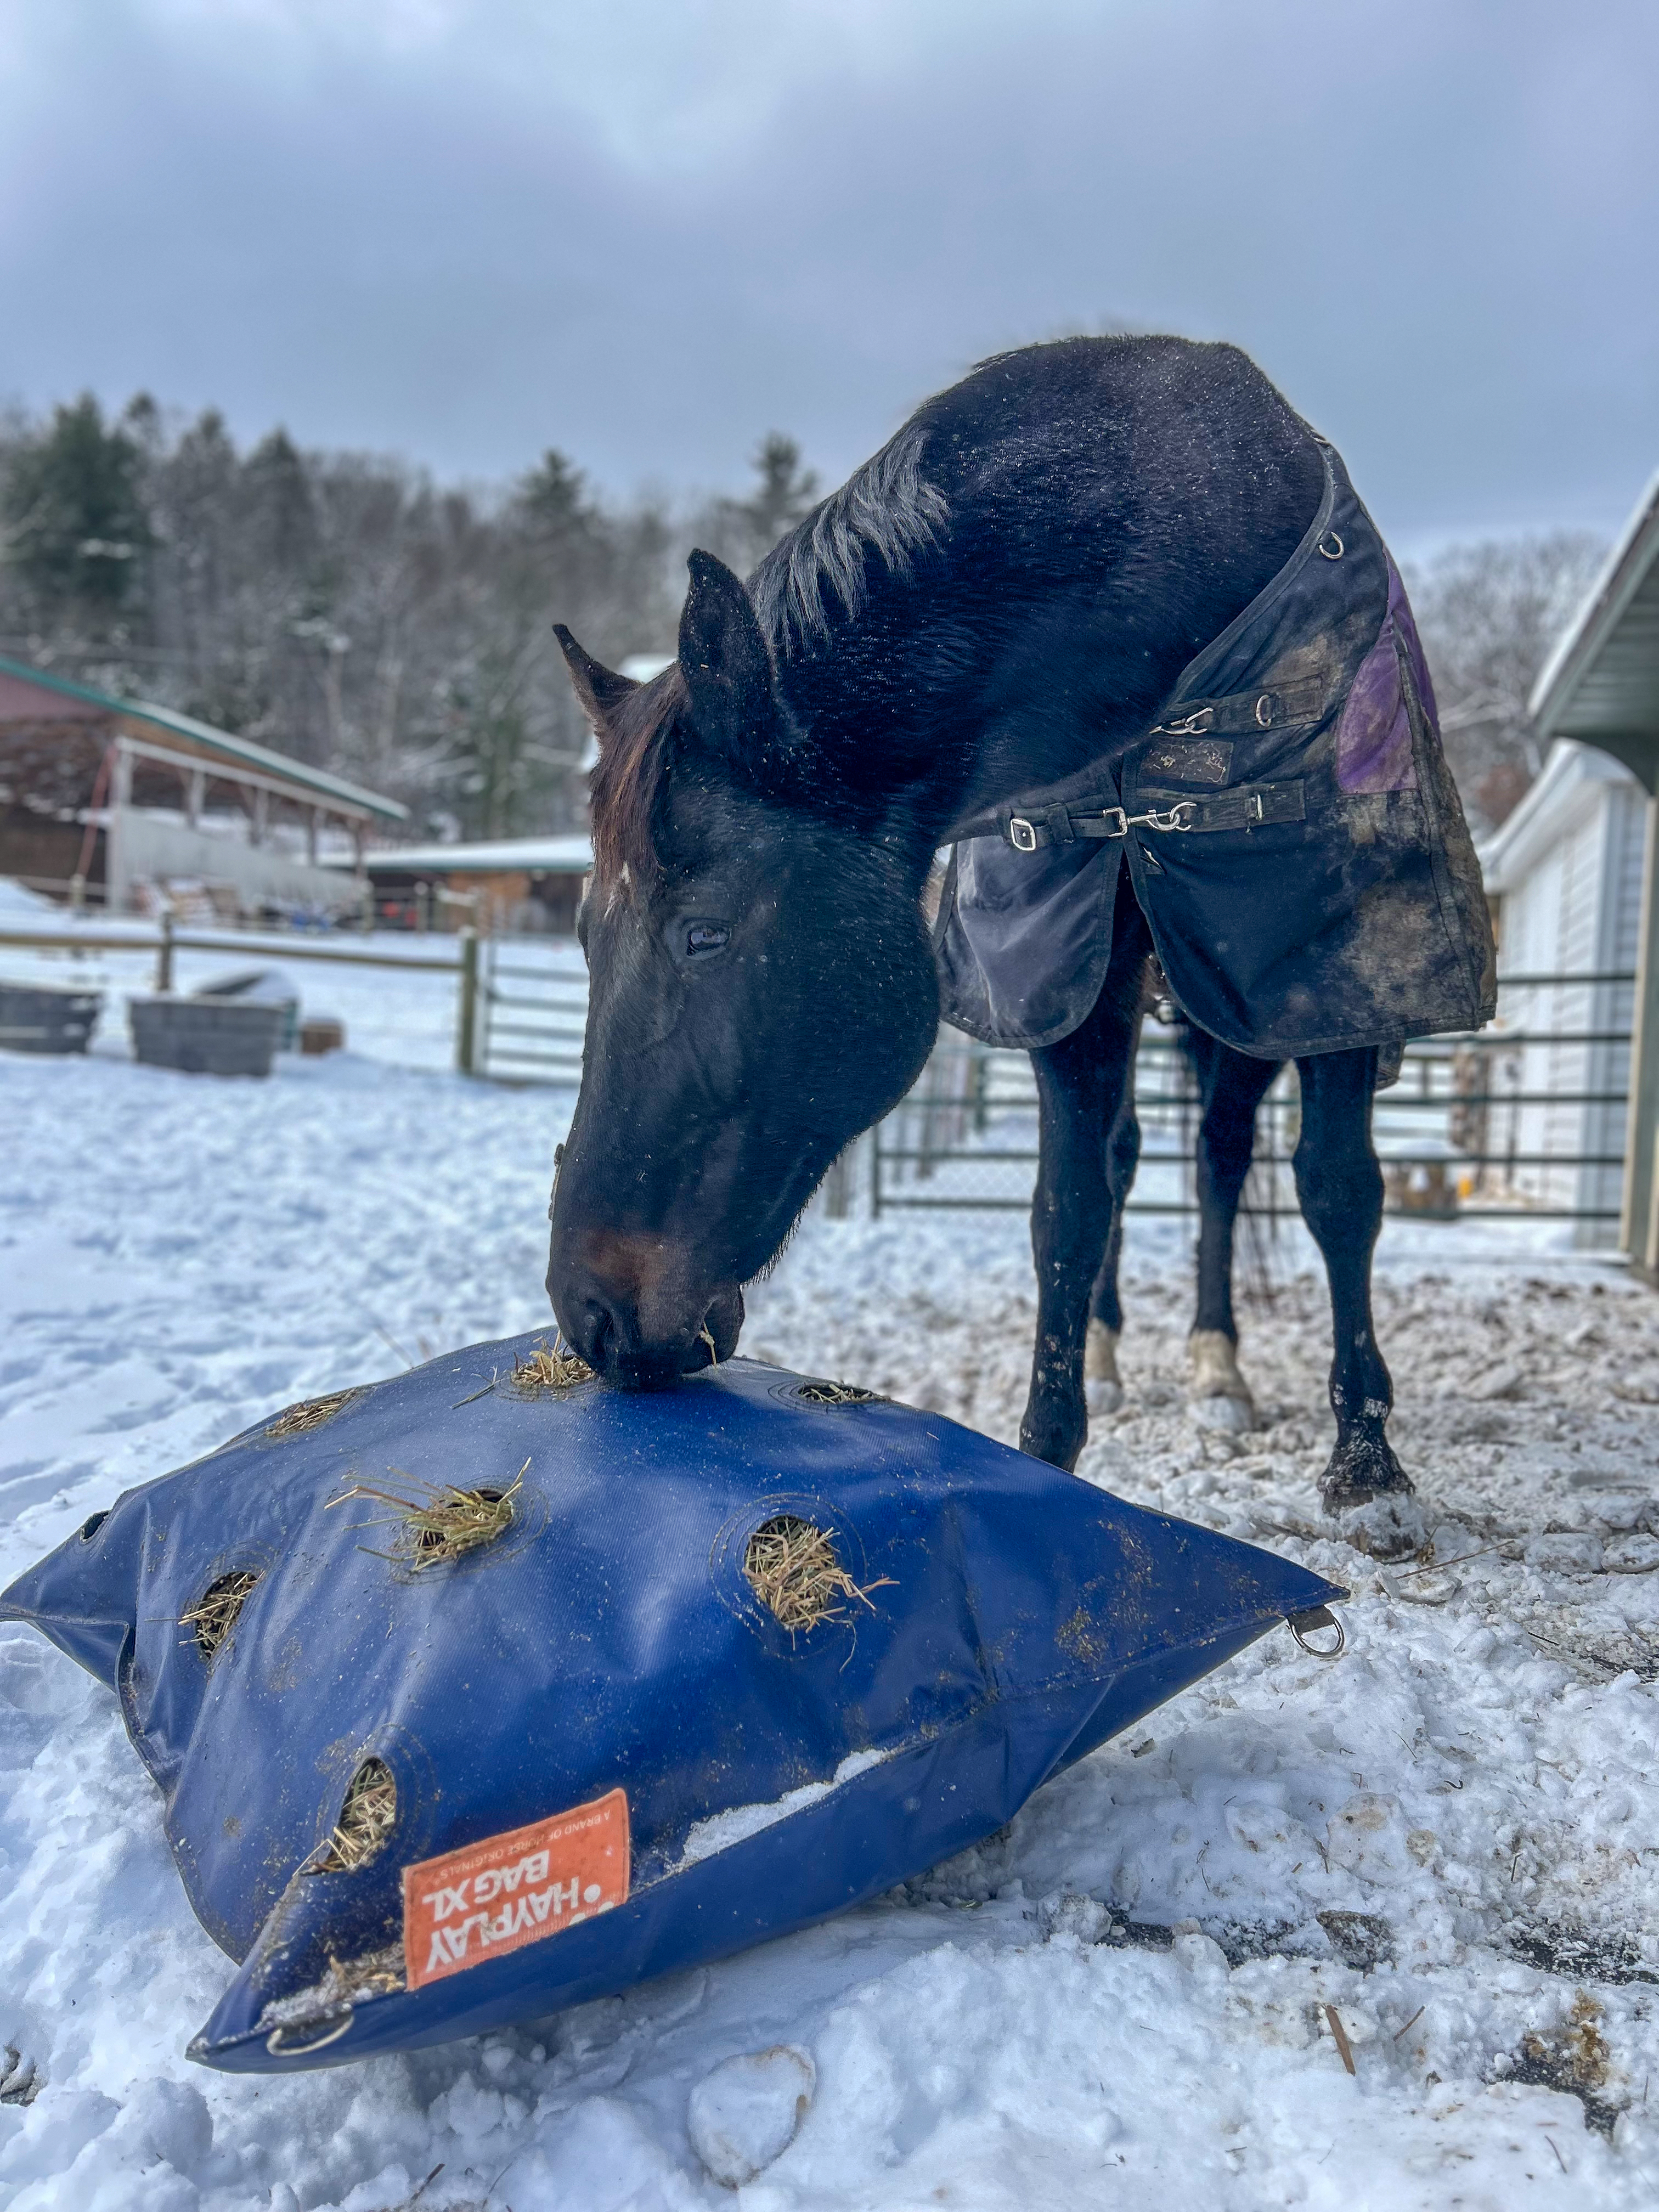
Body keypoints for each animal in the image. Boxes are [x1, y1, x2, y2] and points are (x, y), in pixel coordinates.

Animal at [545, 335, 1491, 1525]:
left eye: (703, 935)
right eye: (584, 936)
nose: (591, 1315)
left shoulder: (1329, 973)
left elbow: (1338, 1190)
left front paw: (1367, 1459)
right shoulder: (1067, 972)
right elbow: (1067, 1207)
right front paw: (1050, 1443)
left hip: (1230, 1005)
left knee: (1223, 1162)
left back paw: (1217, 1366)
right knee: (1132, 1162)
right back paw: (1112, 1350)